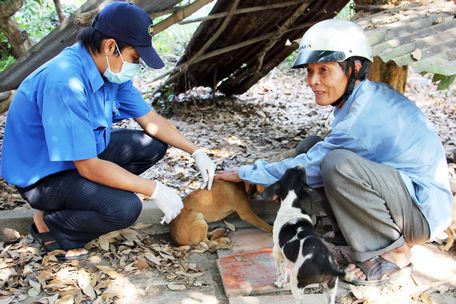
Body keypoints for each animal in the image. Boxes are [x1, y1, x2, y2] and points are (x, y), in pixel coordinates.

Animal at [262, 167, 344, 302]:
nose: (300, 166)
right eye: (301, 173)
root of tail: (326, 266)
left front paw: (279, 282)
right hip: (332, 287)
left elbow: (281, 271)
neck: (291, 205)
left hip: (296, 282)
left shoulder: (277, 251)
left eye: (285, 170)